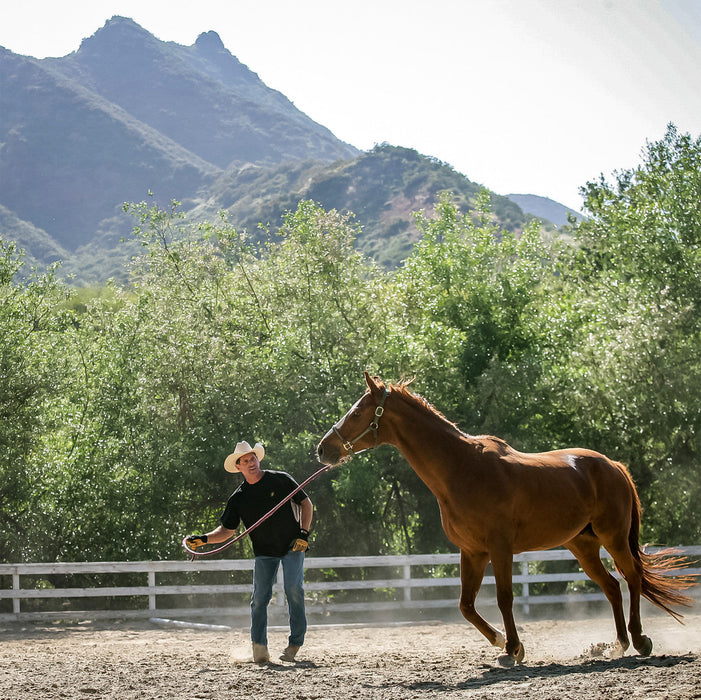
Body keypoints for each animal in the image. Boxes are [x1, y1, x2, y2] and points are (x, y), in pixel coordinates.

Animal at [316, 372, 696, 668]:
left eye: (357, 411)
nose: (323, 449)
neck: (462, 469)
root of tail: (613, 465)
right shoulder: (471, 552)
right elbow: (466, 606)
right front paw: (501, 643)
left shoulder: (500, 549)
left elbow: (504, 598)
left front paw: (513, 648)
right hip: (583, 545)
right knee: (612, 586)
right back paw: (617, 644)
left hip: (613, 537)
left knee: (631, 578)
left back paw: (640, 639)